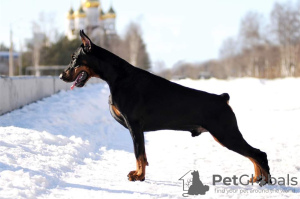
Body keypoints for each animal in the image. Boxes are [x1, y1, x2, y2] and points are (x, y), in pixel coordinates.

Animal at [59, 30, 270, 184]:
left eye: (74, 58)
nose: (61, 75)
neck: (117, 77)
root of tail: (222, 98)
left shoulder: (135, 126)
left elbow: (139, 154)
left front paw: (138, 176)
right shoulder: (137, 129)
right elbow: (143, 156)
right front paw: (141, 175)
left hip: (226, 133)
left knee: (258, 154)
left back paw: (265, 181)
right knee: (254, 155)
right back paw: (257, 178)